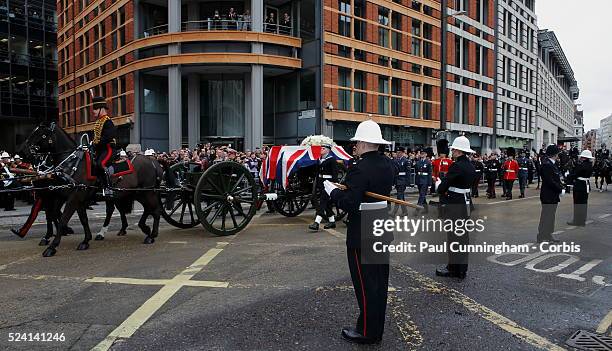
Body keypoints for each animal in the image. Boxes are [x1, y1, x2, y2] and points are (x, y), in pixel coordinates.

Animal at [23, 122, 164, 258]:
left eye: (42, 135)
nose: (24, 152)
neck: (73, 164)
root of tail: (153, 162)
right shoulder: (73, 197)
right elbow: (82, 219)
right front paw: (85, 240)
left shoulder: (73, 197)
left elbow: (63, 219)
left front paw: (52, 247)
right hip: (138, 193)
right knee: (147, 209)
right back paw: (143, 229)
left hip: (147, 192)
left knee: (155, 210)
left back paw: (151, 235)